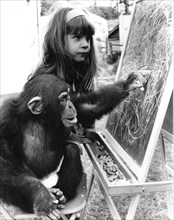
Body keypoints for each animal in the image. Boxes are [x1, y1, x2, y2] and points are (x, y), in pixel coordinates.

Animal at [0, 72, 145, 218]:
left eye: (68, 97)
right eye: (63, 99)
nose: (70, 105)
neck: (37, 118)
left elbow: (89, 107)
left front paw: (129, 83)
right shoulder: (5, 118)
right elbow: (3, 161)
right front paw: (40, 195)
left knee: (72, 149)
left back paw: (61, 195)